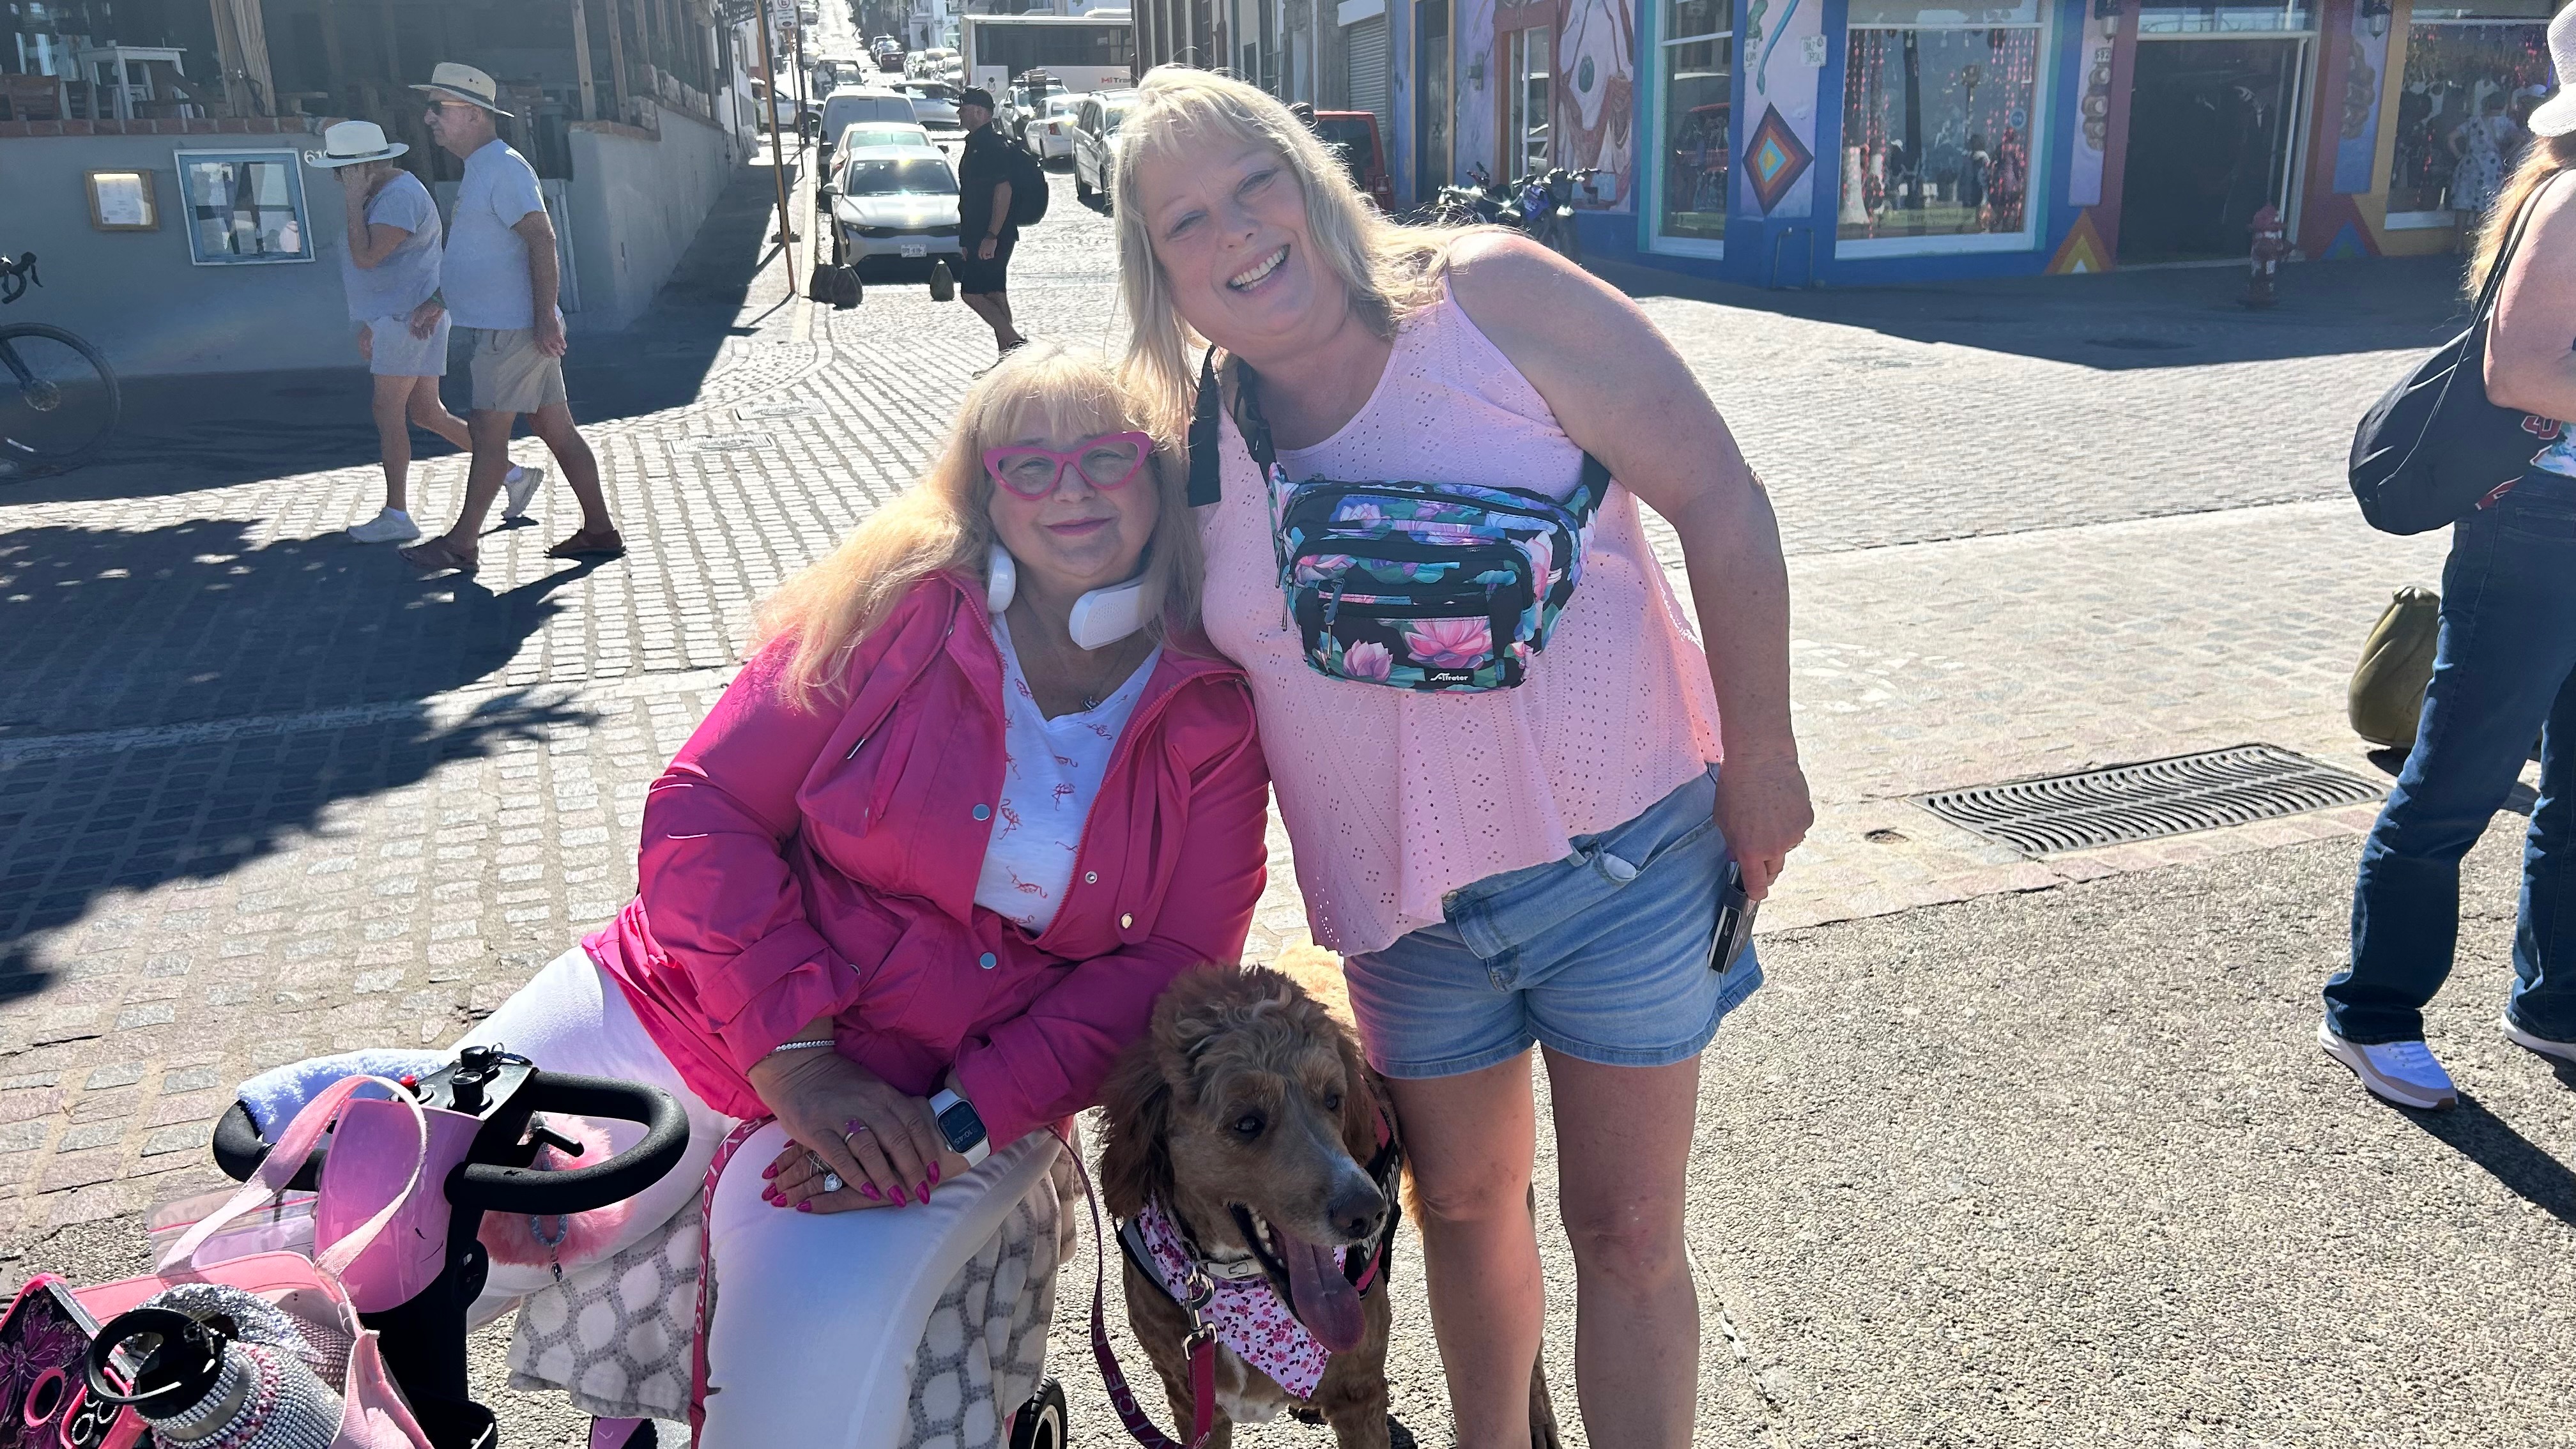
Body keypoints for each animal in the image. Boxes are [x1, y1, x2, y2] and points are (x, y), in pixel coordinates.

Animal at [1098, 948, 1561, 1448]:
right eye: (1246, 1123)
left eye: (1334, 1099)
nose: (1366, 1213)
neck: (1238, 1283)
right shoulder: (1193, 1405)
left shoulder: (1360, 1394)